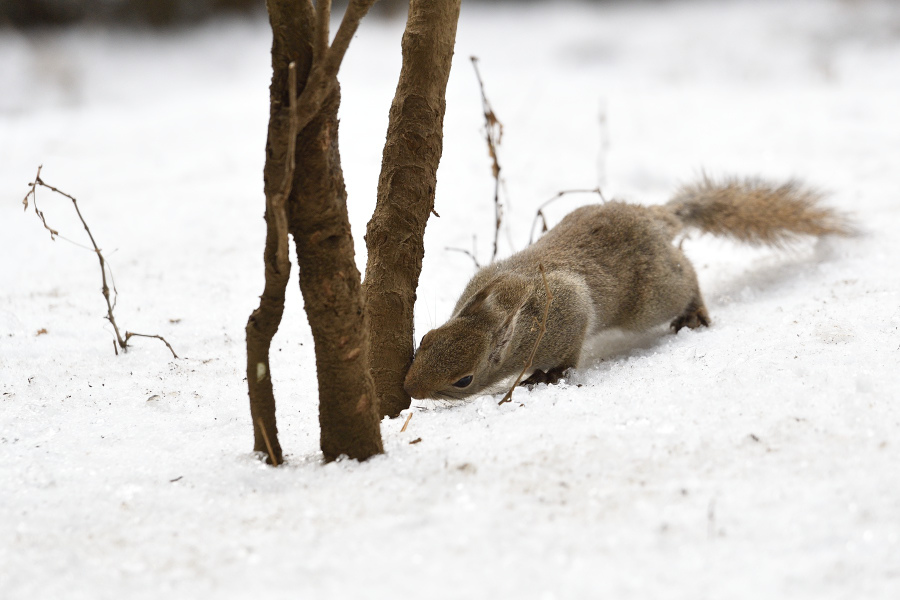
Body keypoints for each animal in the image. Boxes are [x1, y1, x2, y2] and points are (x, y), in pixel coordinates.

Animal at [404, 175, 856, 398]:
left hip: (654, 297)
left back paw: (694, 312)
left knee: (687, 276)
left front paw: (548, 376)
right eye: (425, 339)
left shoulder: (569, 314)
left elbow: (569, 353)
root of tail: (656, 219)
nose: (408, 389)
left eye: (463, 380)